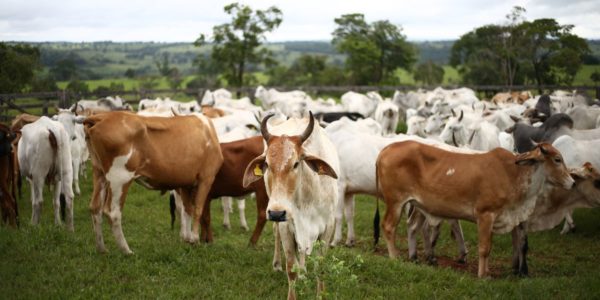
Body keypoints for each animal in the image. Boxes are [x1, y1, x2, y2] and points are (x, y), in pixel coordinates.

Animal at [83, 110, 224, 253]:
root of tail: (102, 117)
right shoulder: (206, 178)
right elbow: (198, 209)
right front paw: (195, 239)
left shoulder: (185, 183)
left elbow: (188, 209)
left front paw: (188, 239)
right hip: (119, 178)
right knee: (113, 212)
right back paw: (126, 251)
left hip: (99, 172)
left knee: (95, 208)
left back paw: (102, 249)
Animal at [378, 141, 576, 276]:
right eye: (557, 159)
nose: (573, 182)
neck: (513, 174)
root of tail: (387, 149)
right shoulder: (485, 215)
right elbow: (484, 248)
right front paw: (482, 275)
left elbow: (492, 247)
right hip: (395, 202)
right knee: (388, 227)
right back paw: (394, 257)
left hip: (416, 205)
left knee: (411, 227)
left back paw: (413, 258)